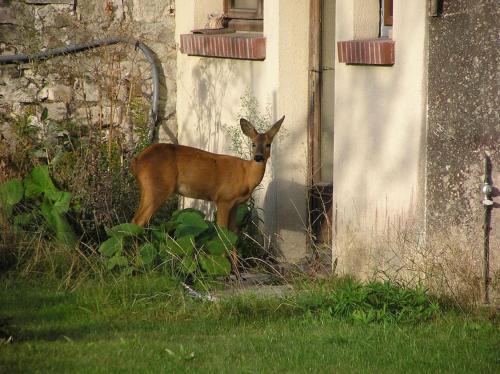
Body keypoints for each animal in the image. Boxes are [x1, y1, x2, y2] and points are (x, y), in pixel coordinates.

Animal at [130, 115, 286, 232]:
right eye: (253, 144)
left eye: (268, 144)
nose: (258, 157)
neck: (246, 176)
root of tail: (137, 161)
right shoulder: (223, 199)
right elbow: (222, 233)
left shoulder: (235, 204)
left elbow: (233, 234)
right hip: (157, 187)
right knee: (137, 221)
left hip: (148, 188)